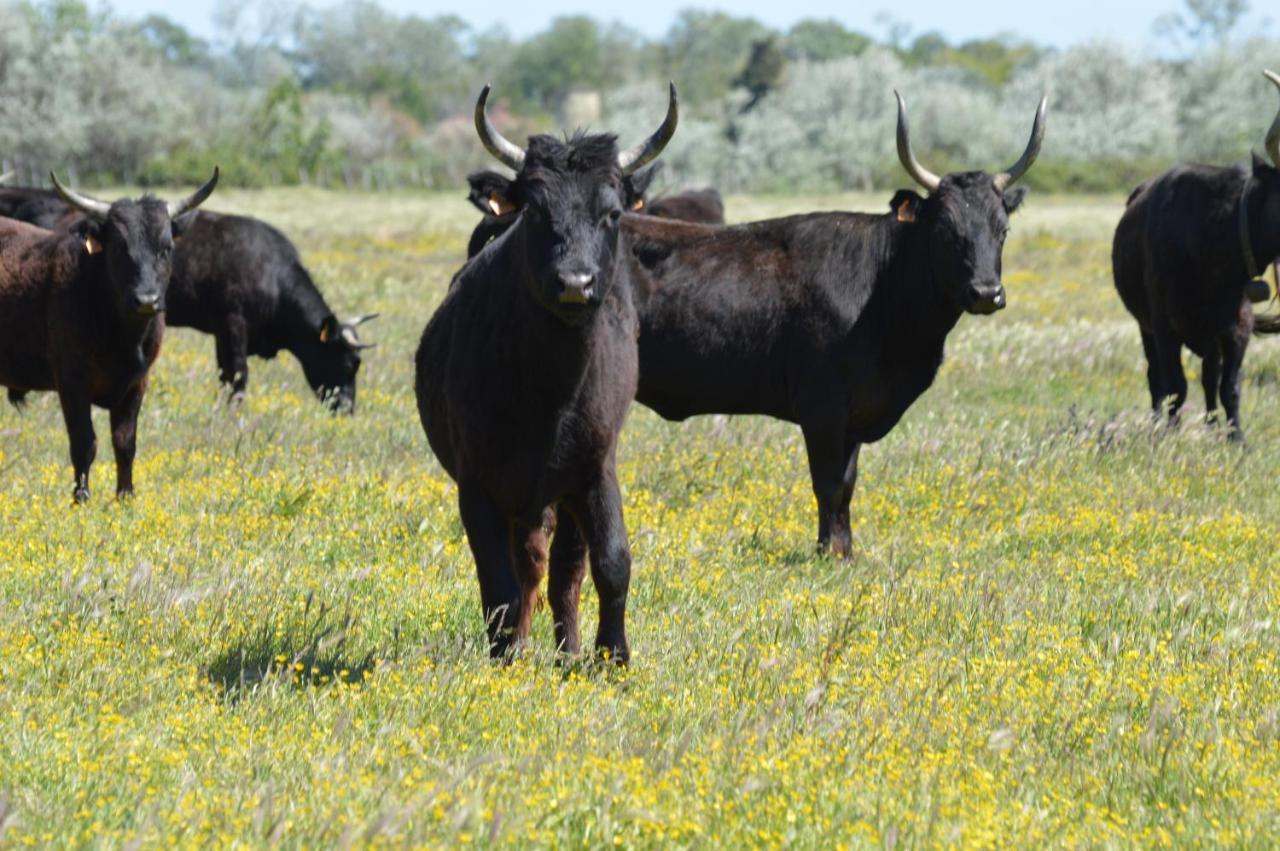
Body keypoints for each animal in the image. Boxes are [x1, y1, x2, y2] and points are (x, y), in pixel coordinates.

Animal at [0, 168, 218, 501]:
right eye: (119, 247)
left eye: (166, 248)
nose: (147, 300)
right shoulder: (72, 382)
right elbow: (84, 444)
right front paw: (81, 499)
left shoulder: (137, 384)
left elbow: (125, 443)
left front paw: (125, 497)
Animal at [419, 83, 680, 660]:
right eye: (537, 210)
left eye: (612, 213)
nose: (575, 283)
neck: (548, 392)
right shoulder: (479, 486)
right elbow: (499, 586)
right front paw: (505, 655)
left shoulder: (594, 469)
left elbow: (611, 563)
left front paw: (611, 655)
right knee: (529, 566)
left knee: (562, 569)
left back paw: (569, 650)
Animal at [1111, 69, 1280, 440]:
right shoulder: (1164, 326)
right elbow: (1175, 385)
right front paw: (1170, 435)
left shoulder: (1236, 329)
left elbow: (1229, 387)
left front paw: (1236, 438)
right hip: (1145, 327)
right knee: (1156, 379)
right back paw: (1157, 423)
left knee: (1208, 378)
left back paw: (1211, 425)